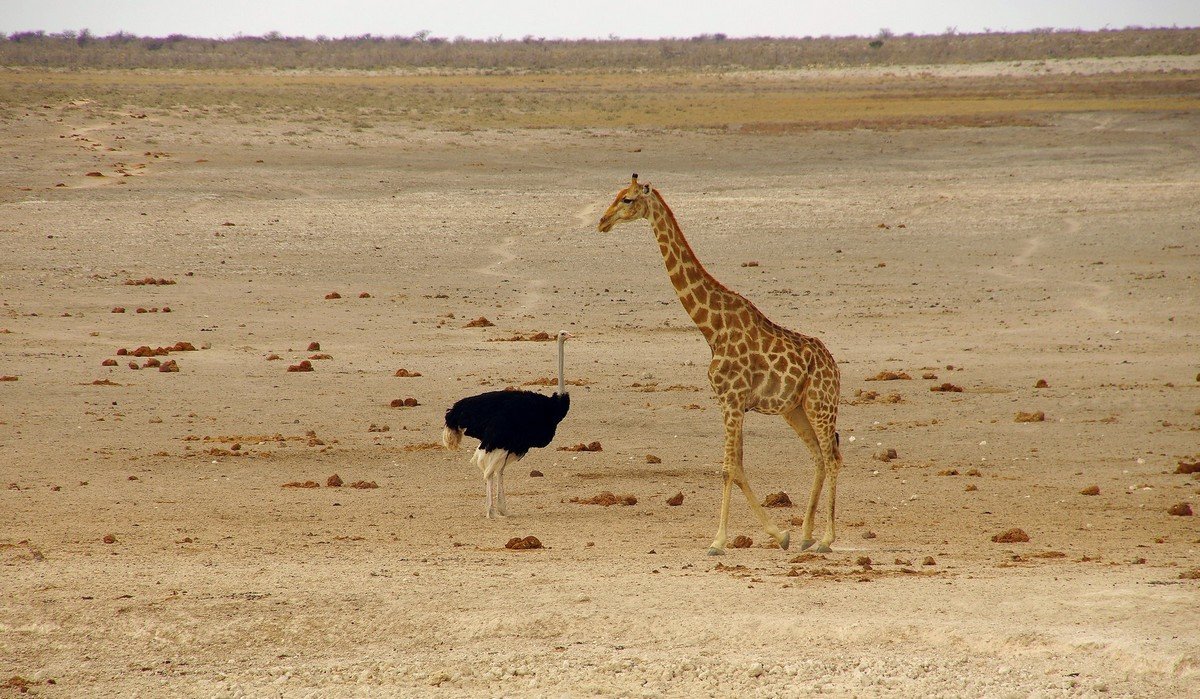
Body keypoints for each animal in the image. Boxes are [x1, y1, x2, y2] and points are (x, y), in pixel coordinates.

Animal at [597, 176, 844, 559]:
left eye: (626, 199)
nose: (602, 222)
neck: (711, 327)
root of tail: (833, 366)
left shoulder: (731, 399)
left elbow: (728, 468)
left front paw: (718, 541)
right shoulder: (731, 402)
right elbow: (738, 467)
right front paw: (780, 535)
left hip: (821, 404)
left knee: (832, 458)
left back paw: (826, 540)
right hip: (795, 409)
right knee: (819, 457)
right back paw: (805, 535)